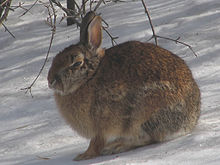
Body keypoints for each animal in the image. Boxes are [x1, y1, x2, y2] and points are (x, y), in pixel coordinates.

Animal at [47, 11, 200, 161]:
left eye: (77, 63)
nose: (50, 81)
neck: (90, 77)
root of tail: (191, 119)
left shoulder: (100, 125)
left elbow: (96, 143)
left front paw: (84, 156)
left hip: (143, 112)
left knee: (147, 138)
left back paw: (116, 146)